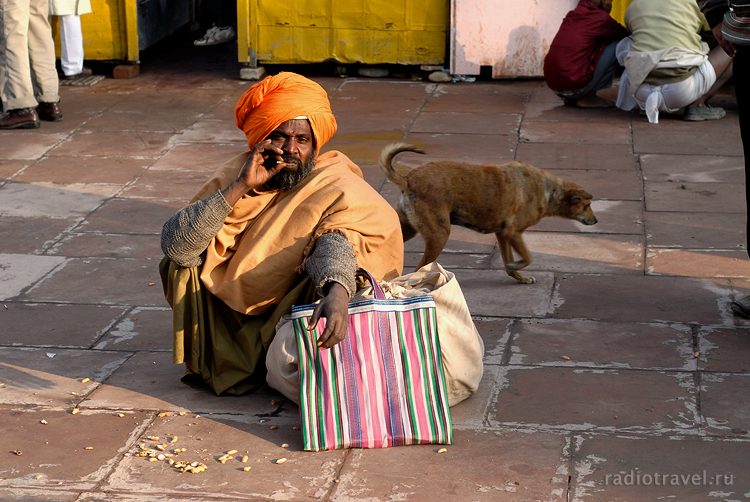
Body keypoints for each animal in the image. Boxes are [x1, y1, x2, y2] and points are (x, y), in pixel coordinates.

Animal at [382, 143, 600, 284]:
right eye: (588, 204)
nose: (596, 220)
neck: (548, 191)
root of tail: (408, 178)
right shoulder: (513, 233)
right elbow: (527, 258)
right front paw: (516, 267)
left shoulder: (503, 234)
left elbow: (508, 260)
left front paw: (519, 277)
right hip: (439, 235)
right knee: (418, 270)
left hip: (406, 229)